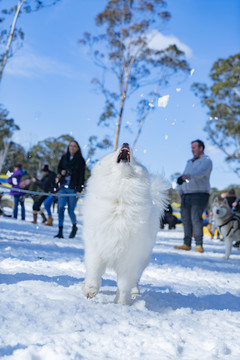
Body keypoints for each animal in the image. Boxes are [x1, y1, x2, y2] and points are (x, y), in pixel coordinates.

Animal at [81, 143, 170, 304]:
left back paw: (134, 293)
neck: (120, 199)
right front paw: (90, 291)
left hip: (142, 259)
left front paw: (121, 303)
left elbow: (124, 284)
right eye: (114, 151)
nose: (126, 143)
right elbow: (94, 272)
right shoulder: (96, 247)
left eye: (135, 159)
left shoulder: (130, 258)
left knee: (135, 280)